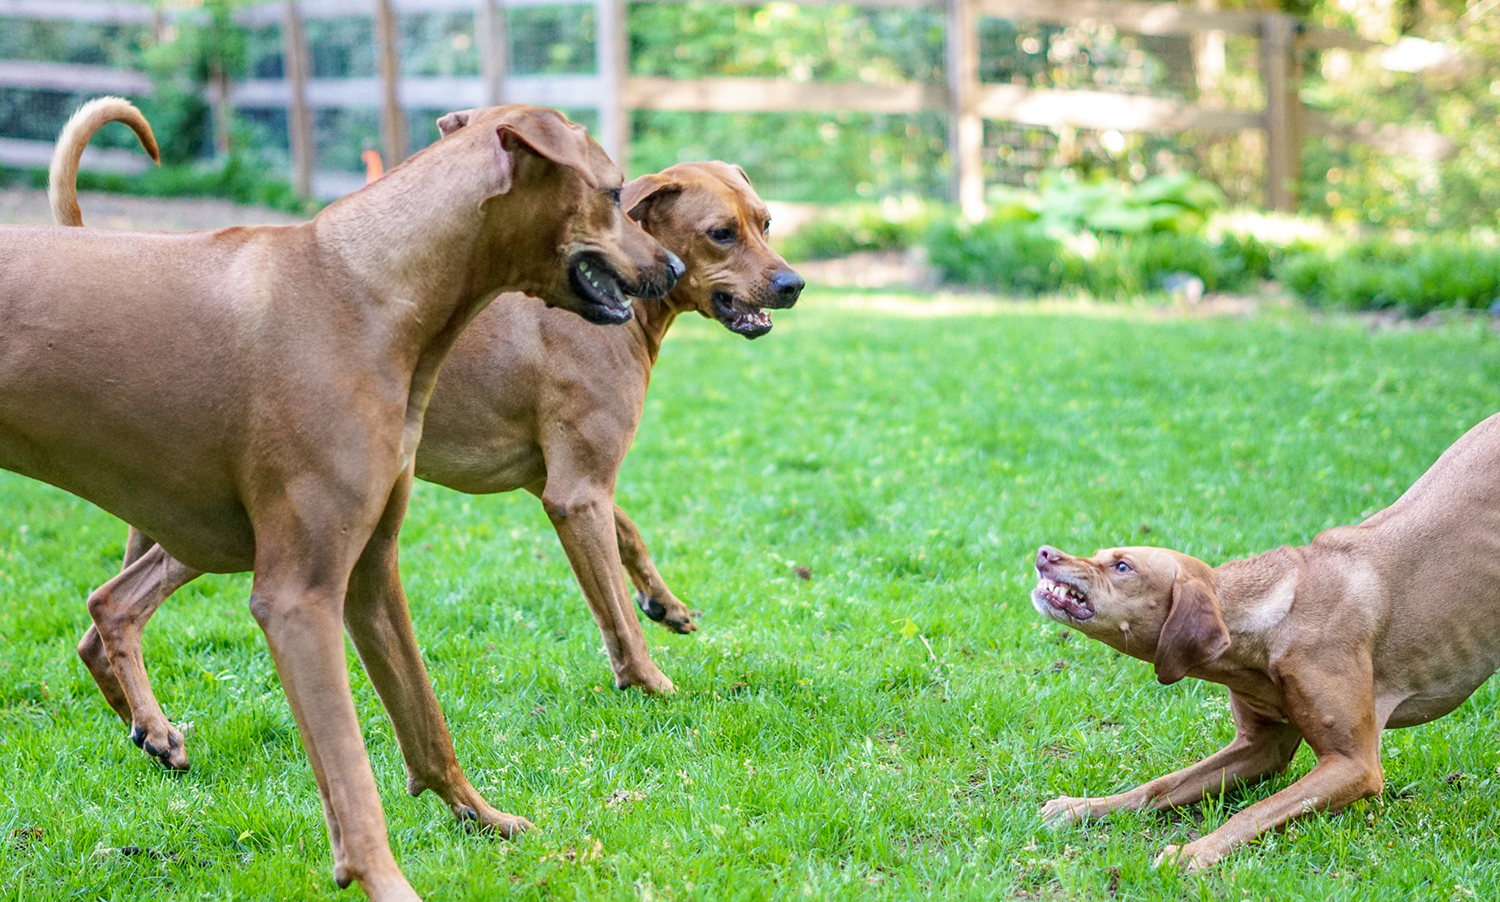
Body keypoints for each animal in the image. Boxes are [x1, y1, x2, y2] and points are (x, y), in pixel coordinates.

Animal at [1, 98, 681, 900]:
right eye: (613, 192)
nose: (673, 267)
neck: (366, 290)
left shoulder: (370, 575)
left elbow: (426, 725)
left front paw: (481, 816)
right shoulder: (298, 598)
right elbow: (353, 783)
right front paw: (387, 880)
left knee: (109, 607)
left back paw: (153, 731)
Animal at [48, 105, 798, 765]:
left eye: (765, 222)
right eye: (721, 233)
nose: (793, 283)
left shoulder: (561, 482)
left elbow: (631, 536)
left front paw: (664, 601)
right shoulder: (576, 492)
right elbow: (614, 610)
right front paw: (649, 680)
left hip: (173, 510)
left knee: (97, 629)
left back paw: (143, 724)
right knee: (116, 605)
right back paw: (152, 725)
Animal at [1032, 411, 1500, 870]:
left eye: (1123, 566)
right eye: (1100, 554)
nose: (1044, 553)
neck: (1269, 623)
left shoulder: (1354, 763)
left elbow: (1254, 812)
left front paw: (1192, 853)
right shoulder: (1260, 746)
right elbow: (1160, 786)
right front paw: (1085, 806)